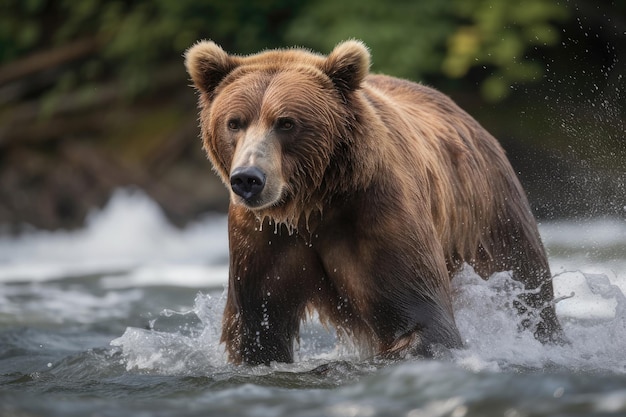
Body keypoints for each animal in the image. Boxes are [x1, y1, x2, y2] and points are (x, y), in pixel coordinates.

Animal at [183, 39, 564, 364]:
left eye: (286, 123)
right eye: (234, 122)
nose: (248, 179)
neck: (310, 203)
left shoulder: (374, 214)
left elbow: (423, 322)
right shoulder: (261, 237)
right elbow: (258, 331)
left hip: (491, 221)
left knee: (527, 287)